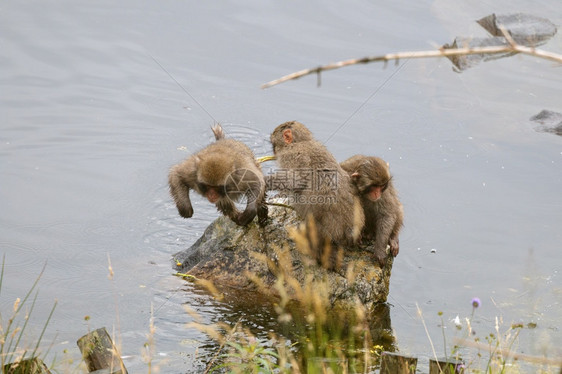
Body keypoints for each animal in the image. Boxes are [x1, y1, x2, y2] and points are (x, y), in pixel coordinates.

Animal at [266, 121, 364, 251]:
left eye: (274, 145)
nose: (274, 152)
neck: (301, 141)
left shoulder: (291, 156)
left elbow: (297, 180)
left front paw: (264, 182)